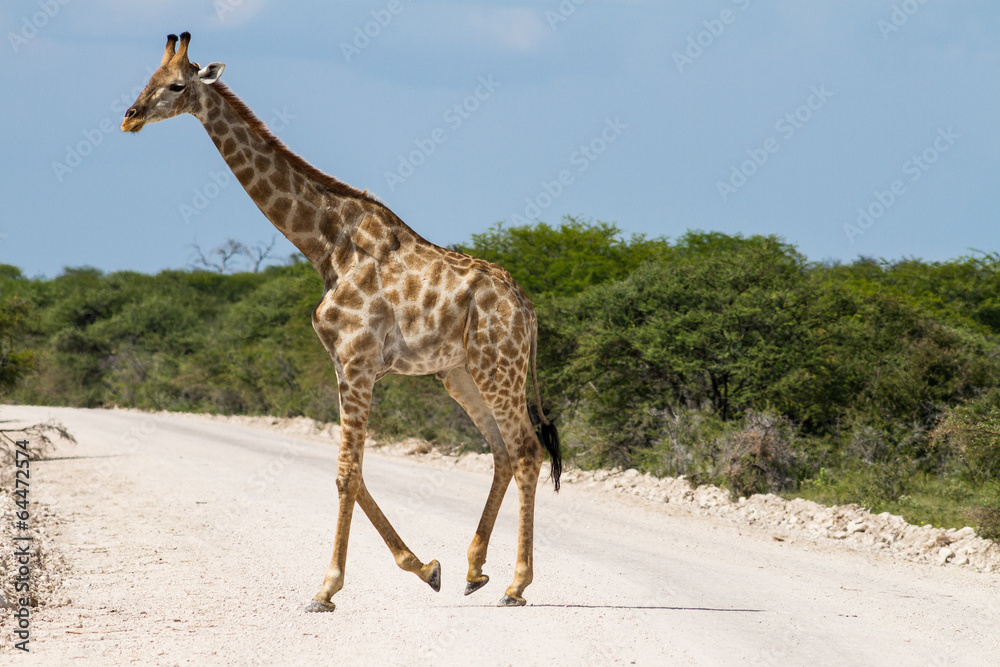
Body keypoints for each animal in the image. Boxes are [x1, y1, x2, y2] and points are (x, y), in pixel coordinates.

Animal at [121, 32, 561, 610]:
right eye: (146, 78)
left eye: (175, 85)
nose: (129, 117)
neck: (325, 245)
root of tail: (527, 308)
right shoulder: (346, 365)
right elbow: (356, 474)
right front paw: (426, 567)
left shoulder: (355, 362)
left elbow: (345, 475)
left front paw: (326, 589)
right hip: (460, 373)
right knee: (503, 452)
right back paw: (474, 570)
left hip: (498, 366)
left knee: (528, 451)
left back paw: (516, 583)